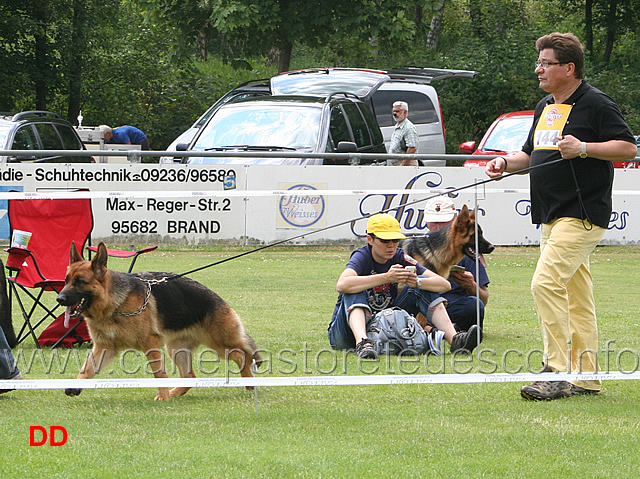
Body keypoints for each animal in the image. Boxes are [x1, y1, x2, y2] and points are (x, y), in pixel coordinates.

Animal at [57, 244, 262, 402]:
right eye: (66, 281)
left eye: (80, 282)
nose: (60, 299)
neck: (114, 305)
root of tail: (218, 299)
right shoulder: (104, 347)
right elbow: (87, 368)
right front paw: (76, 385)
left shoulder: (150, 343)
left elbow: (158, 372)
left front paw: (162, 397)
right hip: (176, 349)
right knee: (190, 375)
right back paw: (175, 393)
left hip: (219, 344)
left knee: (242, 355)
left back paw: (249, 383)